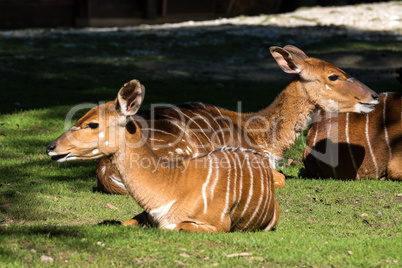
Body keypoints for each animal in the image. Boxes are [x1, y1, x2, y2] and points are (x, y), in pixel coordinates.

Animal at [46, 80, 280, 232]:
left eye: (92, 124)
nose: (50, 147)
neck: (169, 186)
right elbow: (125, 222)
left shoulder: (216, 225)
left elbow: (170, 227)